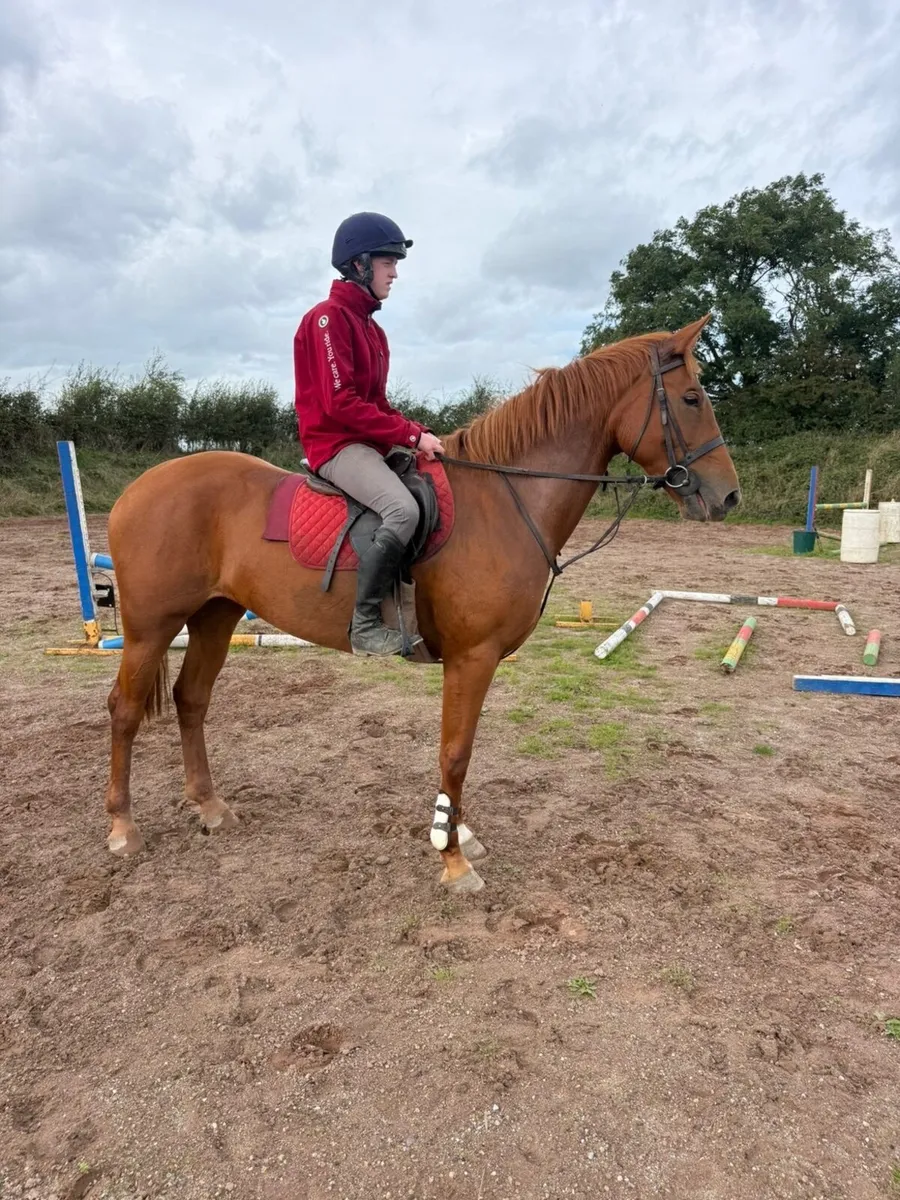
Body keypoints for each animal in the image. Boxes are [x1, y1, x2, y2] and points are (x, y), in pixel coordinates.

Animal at [103, 314, 740, 893]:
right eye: (691, 398)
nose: (729, 496)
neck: (505, 500)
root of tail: (137, 488)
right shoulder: (471, 657)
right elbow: (455, 753)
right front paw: (452, 858)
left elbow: (462, 753)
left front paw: (461, 833)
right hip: (150, 627)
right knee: (125, 710)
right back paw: (123, 829)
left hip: (216, 616)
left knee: (191, 700)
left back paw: (210, 807)